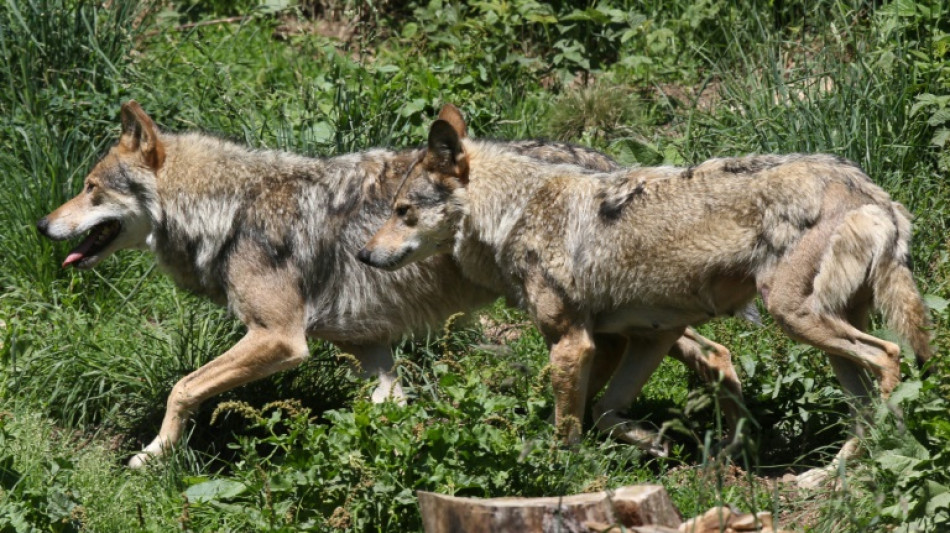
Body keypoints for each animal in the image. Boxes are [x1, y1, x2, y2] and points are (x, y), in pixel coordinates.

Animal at [35, 101, 744, 466]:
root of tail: (604, 160)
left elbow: (182, 389)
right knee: (713, 355)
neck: (228, 210)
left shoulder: (279, 339)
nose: (43, 224)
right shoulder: (370, 351)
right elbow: (388, 410)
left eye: (91, 188)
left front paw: (152, 455)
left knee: (704, 352)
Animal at [360, 110, 932, 484]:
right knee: (864, 401)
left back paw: (874, 451)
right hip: (823, 338)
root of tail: (867, 188)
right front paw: (653, 442)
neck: (514, 213)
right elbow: (603, 413)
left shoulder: (573, 344)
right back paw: (830, 471)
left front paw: (560, 474)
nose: (364, 255)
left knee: (890, 356)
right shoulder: (642, 338)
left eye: (404, 211)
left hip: (795, 317)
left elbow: (568, 427)